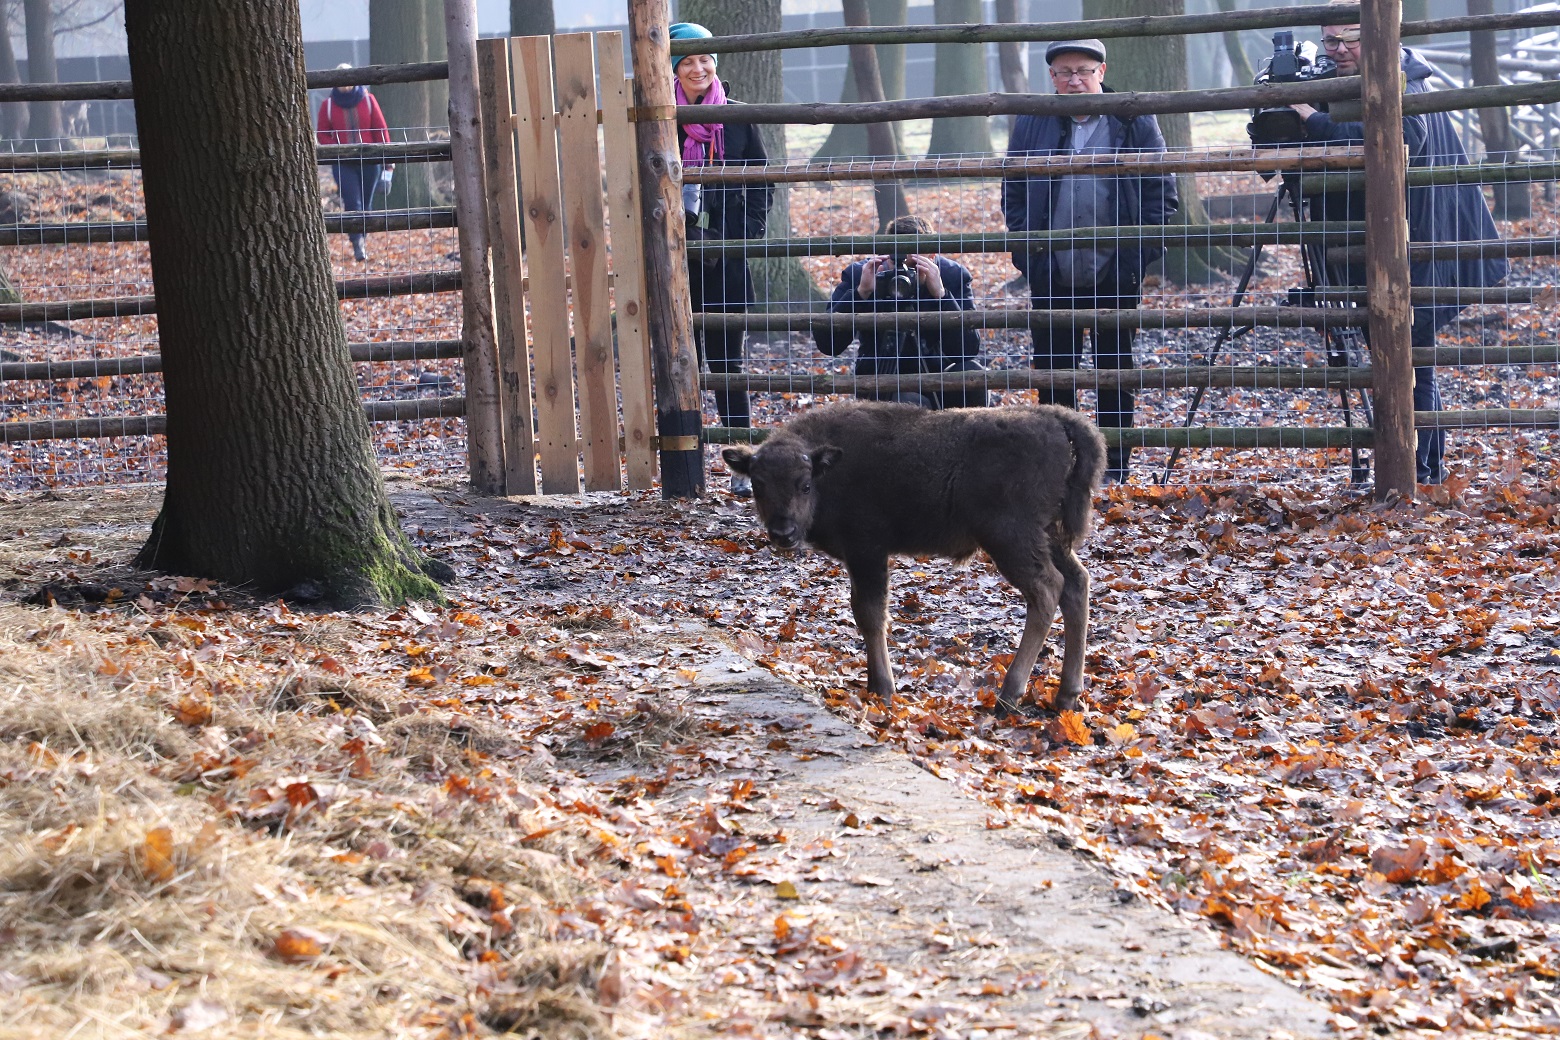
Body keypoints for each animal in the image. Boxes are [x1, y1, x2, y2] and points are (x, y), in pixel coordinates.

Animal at [723, 402, 1104, 717]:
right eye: (757, 484)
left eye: (803, 485)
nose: (783, 532)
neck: (829, 470)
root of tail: (1054, 419)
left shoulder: (867, 552)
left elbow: (870, 614)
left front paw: (883, 688)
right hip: (1050, 537)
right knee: (1077, 584)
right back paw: (1066, 697)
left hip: (1012, 540)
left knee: (1047, 589)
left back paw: (1007, 696)